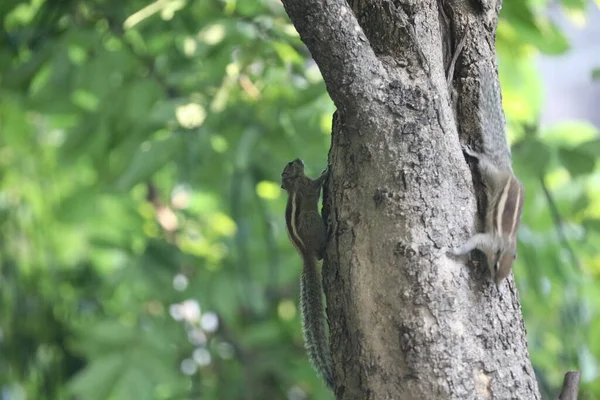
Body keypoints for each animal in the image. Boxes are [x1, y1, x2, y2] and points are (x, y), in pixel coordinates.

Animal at [448, 65, 528, 286]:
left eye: (508, 271)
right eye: (496, 266)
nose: (496, 283)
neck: (505, 243)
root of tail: (506, 169)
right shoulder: (486, 239)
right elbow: (471, 242)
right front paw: (455, 250)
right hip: (490, 172)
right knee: (483, 160)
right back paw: (472, 152)